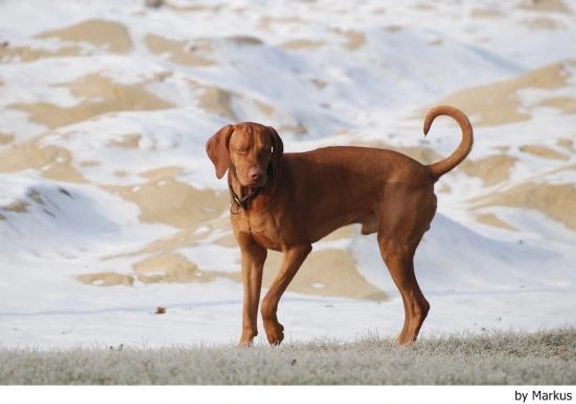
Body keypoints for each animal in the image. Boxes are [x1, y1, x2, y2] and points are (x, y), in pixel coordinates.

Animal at [207, 105, 472, 346]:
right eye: (241, 150)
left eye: (265, 151)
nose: (257, 175)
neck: (253, 200)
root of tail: (426, 170)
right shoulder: (251, 255)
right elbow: (248, 306)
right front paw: (244, 344)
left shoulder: (297, 249)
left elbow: (267, 300)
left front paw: (275, 333)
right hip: (396, 250)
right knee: (412, 304)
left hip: (393, 247)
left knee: (418, 304)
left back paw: (404, 346)